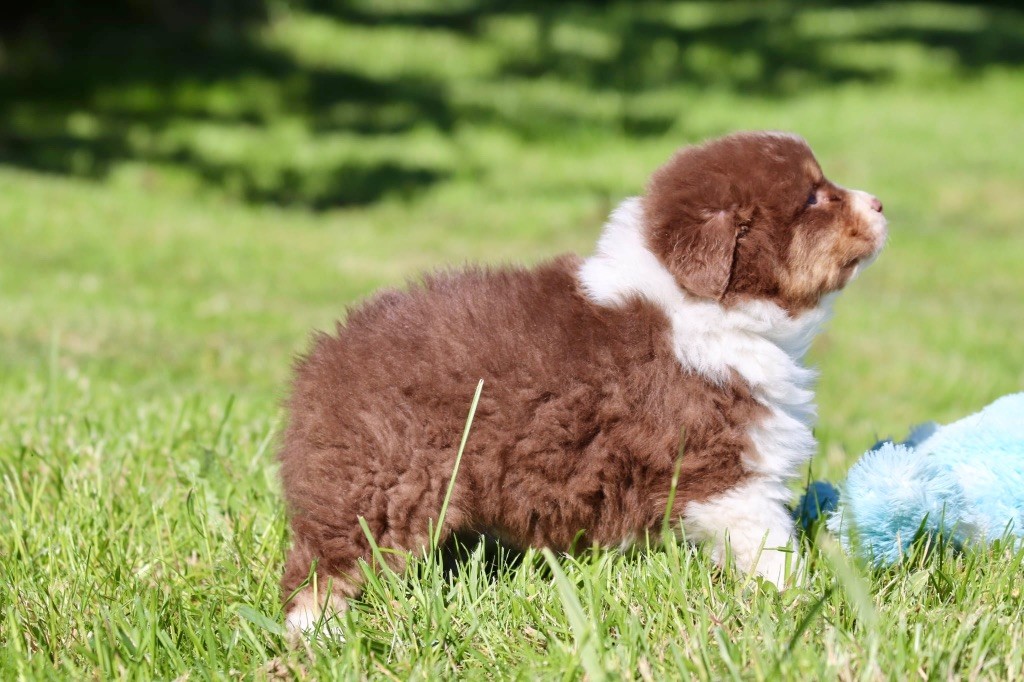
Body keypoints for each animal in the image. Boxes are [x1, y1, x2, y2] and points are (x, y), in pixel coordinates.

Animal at [278, 131, 887, 632]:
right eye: (813, 198)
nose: (881, 203)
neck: (703, 303)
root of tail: (322, 359)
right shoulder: (722, 469)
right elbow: (769, 542)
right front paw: (807, 601)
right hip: (382, 482)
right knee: (322, 569)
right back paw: (322, 635)